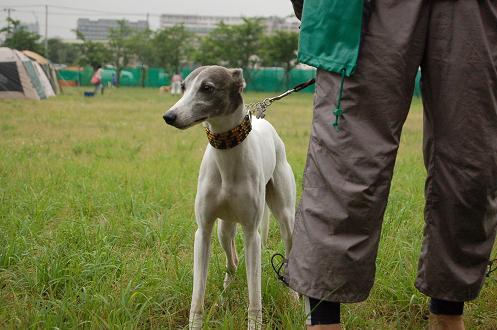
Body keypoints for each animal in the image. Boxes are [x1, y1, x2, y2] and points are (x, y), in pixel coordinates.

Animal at [163, 65, 294, 328]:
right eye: (183, 86)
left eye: (207, 87)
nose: (169, 116)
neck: (227, 154)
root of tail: (264, 121)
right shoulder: (203, 231)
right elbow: (197, 295)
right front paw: (196, 322)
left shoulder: (251, 233)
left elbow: (255, 295)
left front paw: (254, 323)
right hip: (224, 229)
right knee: (232, 263)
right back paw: (222, 300)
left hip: (285, 217)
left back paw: (297, 300)